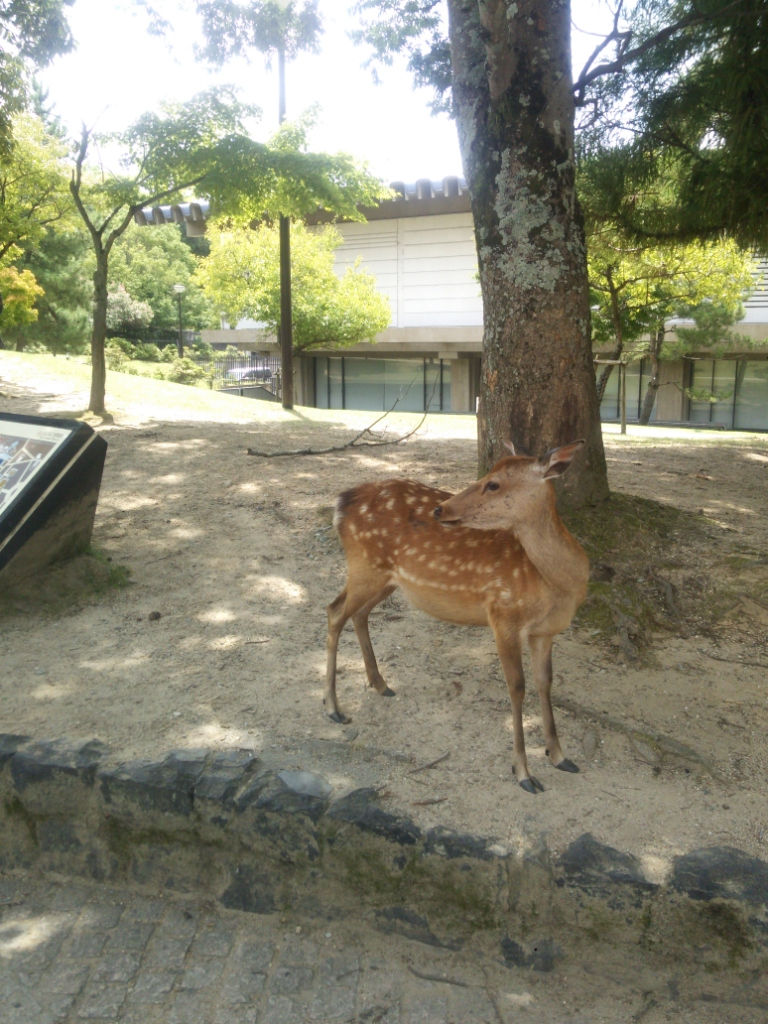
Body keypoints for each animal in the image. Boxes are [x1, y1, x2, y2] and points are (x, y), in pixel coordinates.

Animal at [324, 440, 589, 793]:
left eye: (494, 484)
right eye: (488, 473)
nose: (441, 509)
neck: (559, 586)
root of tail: (341, 503)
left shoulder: (545, 632)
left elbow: (545, 683)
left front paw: (560, 756)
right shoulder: (502, 614)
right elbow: (517, 686)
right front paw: (523, 772)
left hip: (386, 578)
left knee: (357, 614)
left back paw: (380, 684)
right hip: (365, 566)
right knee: (334, 612)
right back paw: (334, 709)